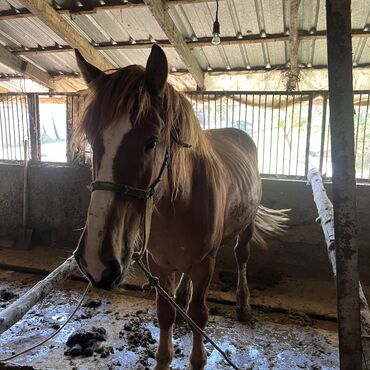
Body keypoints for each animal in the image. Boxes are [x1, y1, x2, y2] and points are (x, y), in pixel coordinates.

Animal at [73, 44, 290, 368]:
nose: (95, 263)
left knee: (241, 257)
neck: (178, 206)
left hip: (246, 227)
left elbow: (200, 316)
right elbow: (166, 314)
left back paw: (243, 304)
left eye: (151, 141)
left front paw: (197, 355)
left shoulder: (204, 264)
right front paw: (165, 355)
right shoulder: (161, 265)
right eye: (91, 138)